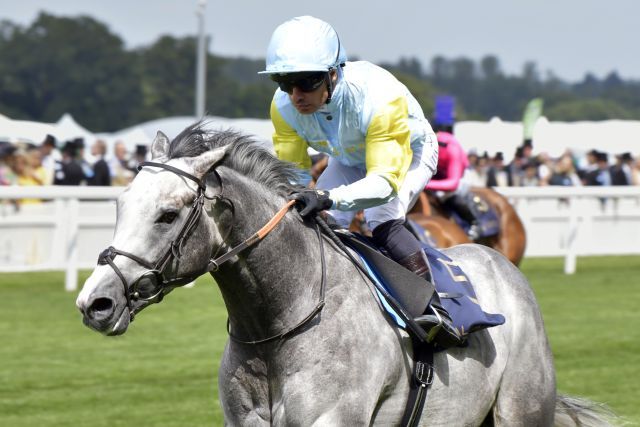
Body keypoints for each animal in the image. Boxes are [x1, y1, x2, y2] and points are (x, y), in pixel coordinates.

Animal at [75, 125, 616, 426]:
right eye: (119, 204)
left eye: (168, 214)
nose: (95, 302)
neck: (280, 322)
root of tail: (502, 267)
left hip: (521, 408)